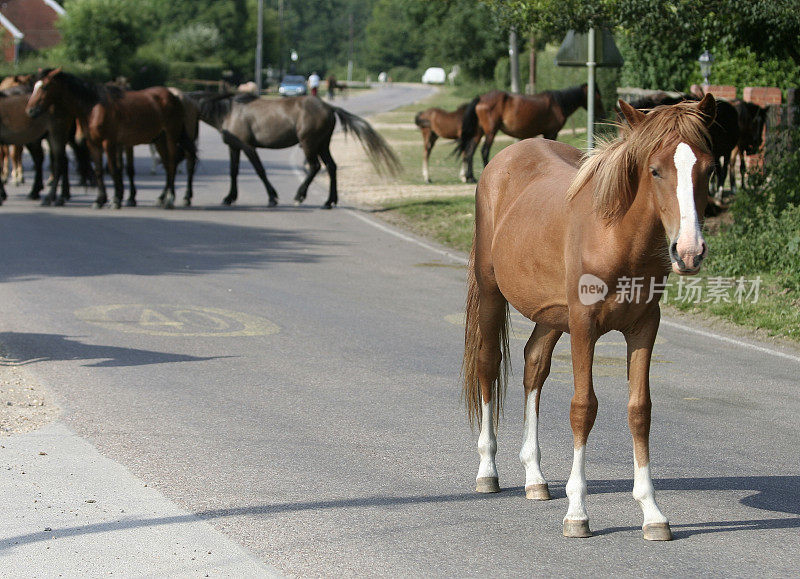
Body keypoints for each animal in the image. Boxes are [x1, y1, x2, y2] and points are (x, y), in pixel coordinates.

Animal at [26, 68, 195, 208]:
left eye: (45, 87)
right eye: (34, 86)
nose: (30, 110)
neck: (94, 108)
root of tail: (175, 97)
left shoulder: (109, 143)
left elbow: (114, 169)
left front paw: (116, 200)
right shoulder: (94, 144)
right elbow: (99, 170)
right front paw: (100, 199)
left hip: (171, 137)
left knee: (172, 163)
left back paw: (170, 199)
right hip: (159, 140)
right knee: (168, 165)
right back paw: (162, 197)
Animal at [188, 94, 400, 212]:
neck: (230, 112)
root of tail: (329, 107)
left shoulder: (248, 147)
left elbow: (260, 171)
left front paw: (272, 198)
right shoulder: (234, 147)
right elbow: (233, 172)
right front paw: (229, 198)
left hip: (309, 144)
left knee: (315, 166)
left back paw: (300, 196)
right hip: (323, 145)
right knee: (331, 167)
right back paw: (329, 202)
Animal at [454, 83, 604, 181]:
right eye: (596, 96)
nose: (601, 114)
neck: (558, 103)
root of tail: (481, 98)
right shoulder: (551, 133)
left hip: (478, 132)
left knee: (470, 151)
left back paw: (470, 177)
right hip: (491, 131)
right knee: (484, 151)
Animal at [462, 95, 720, 544]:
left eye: (705, 168)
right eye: (655, 170)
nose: (689, 252)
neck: (616, 237)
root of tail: (503, 160)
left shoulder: (644, 327)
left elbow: (640, 410)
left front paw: (652, 513)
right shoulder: (584, 327)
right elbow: (583, 408)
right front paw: (578, 512)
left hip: (551, 317)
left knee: (534, 364)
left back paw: (535, 477)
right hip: (493, 293)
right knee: (488, 365)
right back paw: (488, 471)